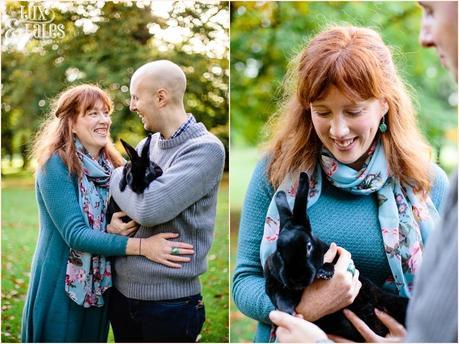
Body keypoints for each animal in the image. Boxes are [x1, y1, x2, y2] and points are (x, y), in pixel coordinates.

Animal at [266, 172, 410, 342]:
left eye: (308, 247)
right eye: (279, 252)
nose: (297, 279)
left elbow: (331, 263)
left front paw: (325, 272)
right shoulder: (272, 283)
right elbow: (280, 297)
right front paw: (288, 312)